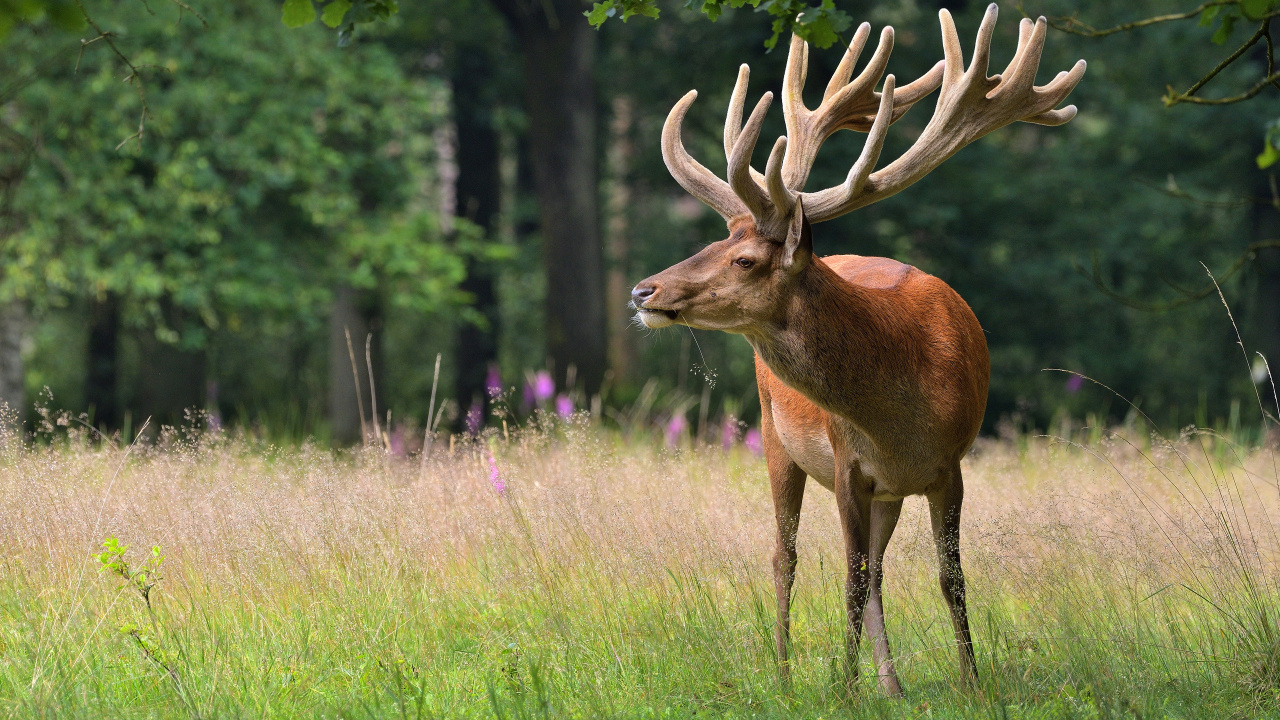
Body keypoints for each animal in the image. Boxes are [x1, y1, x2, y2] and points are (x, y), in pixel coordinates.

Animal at [630, 4, 1084, 695]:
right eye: (715, 240)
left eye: (743, 257)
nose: (643, 290)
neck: (899, 411)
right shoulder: (849, 464)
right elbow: (847, 578)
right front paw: (843, 689)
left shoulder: (949, 467)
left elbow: (948, 579)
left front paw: (971, 682)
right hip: (774, 433)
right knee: (785, 555)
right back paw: (786, 674)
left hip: (884, 492)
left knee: (873, 567)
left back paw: (889, 683)